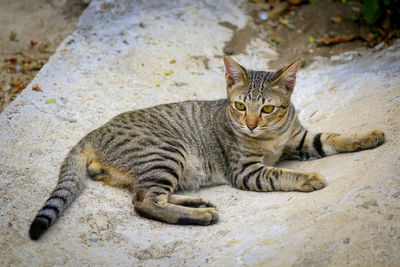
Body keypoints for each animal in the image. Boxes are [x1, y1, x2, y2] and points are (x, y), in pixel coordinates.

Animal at [28, 56, 384, 241]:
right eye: (239, 106)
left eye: (267, 109)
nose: (250, 124)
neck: (273, 137)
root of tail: (93, 132)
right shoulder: (246, 170)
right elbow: (278, 173)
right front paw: (307, 178)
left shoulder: (300, 139)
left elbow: (333, 137)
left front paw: (367, 136)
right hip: (167, 151)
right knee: (145, 202)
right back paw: (200, 216)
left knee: (153, 195)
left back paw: (197, 203)